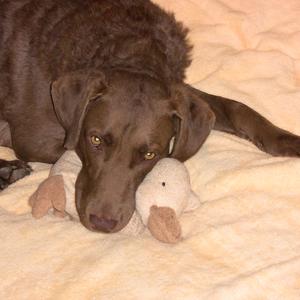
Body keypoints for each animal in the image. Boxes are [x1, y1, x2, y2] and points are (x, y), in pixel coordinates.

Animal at [0, 0, 300, 233]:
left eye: (149, 155)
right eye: (95, 140)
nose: (103, 223)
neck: (130, 47)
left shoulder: (179, 93)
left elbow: (234, 107)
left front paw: (285, 140)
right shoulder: (33, 139)